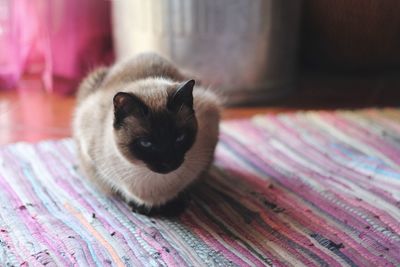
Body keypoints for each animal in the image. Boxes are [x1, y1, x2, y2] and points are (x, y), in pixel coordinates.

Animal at [72, 53, 222, 217]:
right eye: (146, 143)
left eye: (179, 138)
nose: (169, 162)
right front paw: (139, 207)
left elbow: (186, 187)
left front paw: (176, 205)